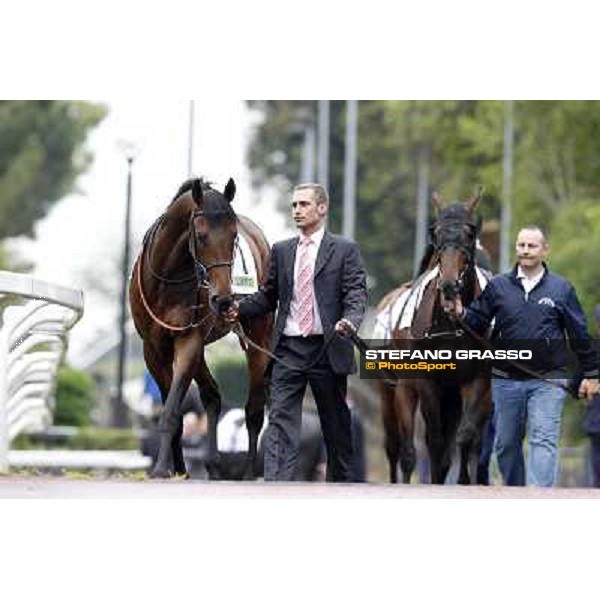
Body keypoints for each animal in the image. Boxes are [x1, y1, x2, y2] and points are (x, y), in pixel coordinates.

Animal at [132, 177, 274, 478]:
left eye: (234, 237)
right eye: (201, 235)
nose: (224, 299)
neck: (167, 281)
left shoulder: (189, 340)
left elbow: (172, 409)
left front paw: (160, 469)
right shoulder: (153, 349)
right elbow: (173, 407)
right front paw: (177, 470)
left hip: (259, 337)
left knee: (254, 410)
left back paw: (248, 473)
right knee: (212, 395)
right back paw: (212, 465)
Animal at [380, 190, 492, 486]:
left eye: (470, 233)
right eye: (436, 233)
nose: (450, 285)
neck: (451, 326)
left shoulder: (475, 381)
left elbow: (464, 436)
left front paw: (463, 479)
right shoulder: (427, 382)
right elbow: (434, 440)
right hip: (394, 391)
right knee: (398, 446)